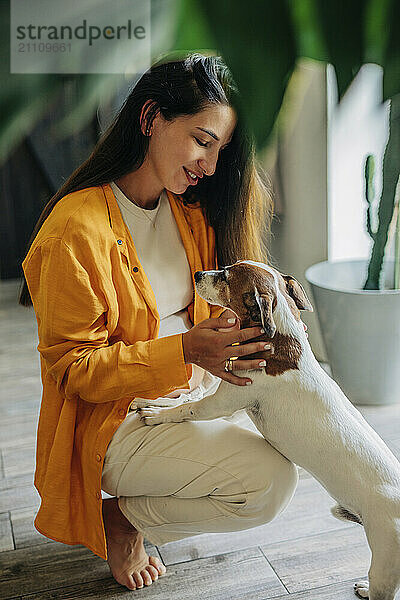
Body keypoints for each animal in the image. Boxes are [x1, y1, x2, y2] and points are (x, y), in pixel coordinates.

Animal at [137, 258, 400, 600]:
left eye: (225, 277)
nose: (197, 274)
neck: (279, 342)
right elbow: (190, 396)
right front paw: (155, 400)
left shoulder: (222, 404)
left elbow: (187, 409)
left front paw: (157, 414)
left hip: (384, 559)